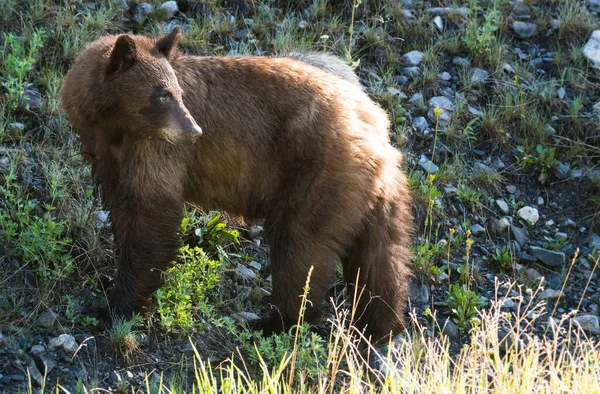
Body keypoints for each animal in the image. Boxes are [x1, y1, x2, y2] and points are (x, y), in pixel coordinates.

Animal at [63, 25, 414, 344]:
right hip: (372, 193)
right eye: (162, 93)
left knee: (299, 245)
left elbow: (151, 215)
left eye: (176, 92)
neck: (112, 128)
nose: (194, 131)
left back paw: (276, 321)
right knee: (382, 258)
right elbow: (121, 207)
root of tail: (375, 127)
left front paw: (115, 307)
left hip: (318, 173)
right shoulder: (105, 154)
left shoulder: (154, 148)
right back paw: (379, 324)